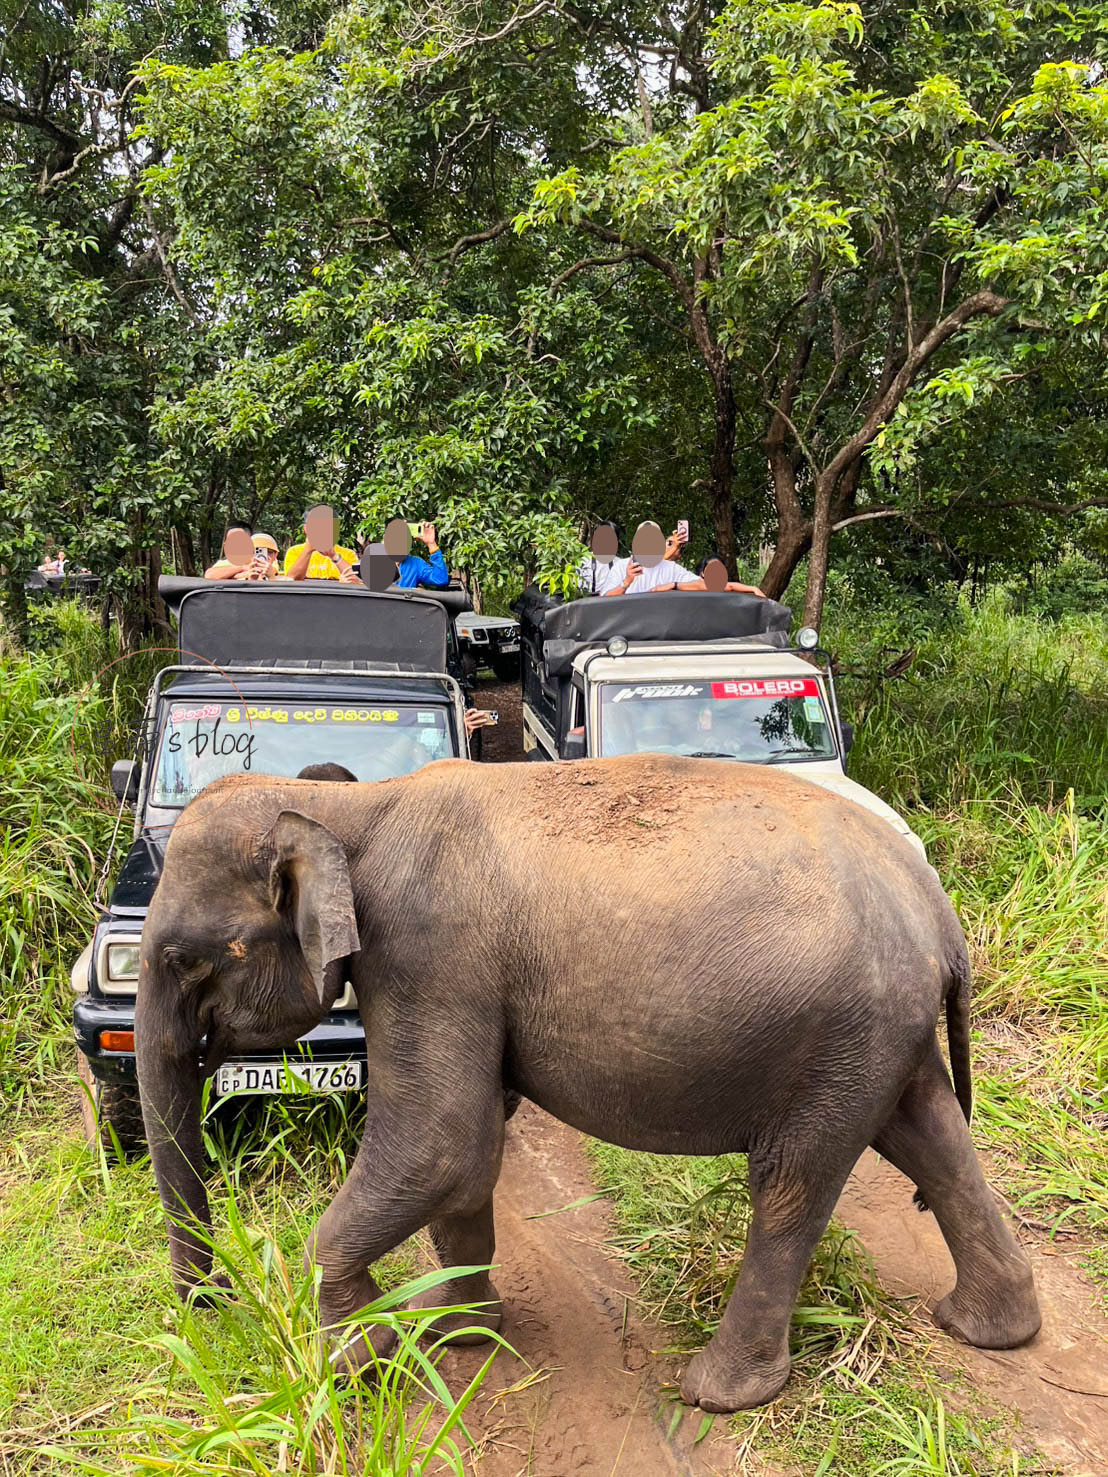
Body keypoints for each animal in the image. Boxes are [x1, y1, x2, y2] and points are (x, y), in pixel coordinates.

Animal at [134, 756, 1040, 1413]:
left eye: (183, 957)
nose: (206, 1306)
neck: (347, 806)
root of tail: (939, 910)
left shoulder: (427, 952)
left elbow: (441, 1140)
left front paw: (361, 1362)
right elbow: (469, 1153)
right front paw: (465, 1337)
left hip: (841, 1034)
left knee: (791, 1184)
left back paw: (719, 1395)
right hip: (883, 1035)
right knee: (931, 1139)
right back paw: (988, 1328)